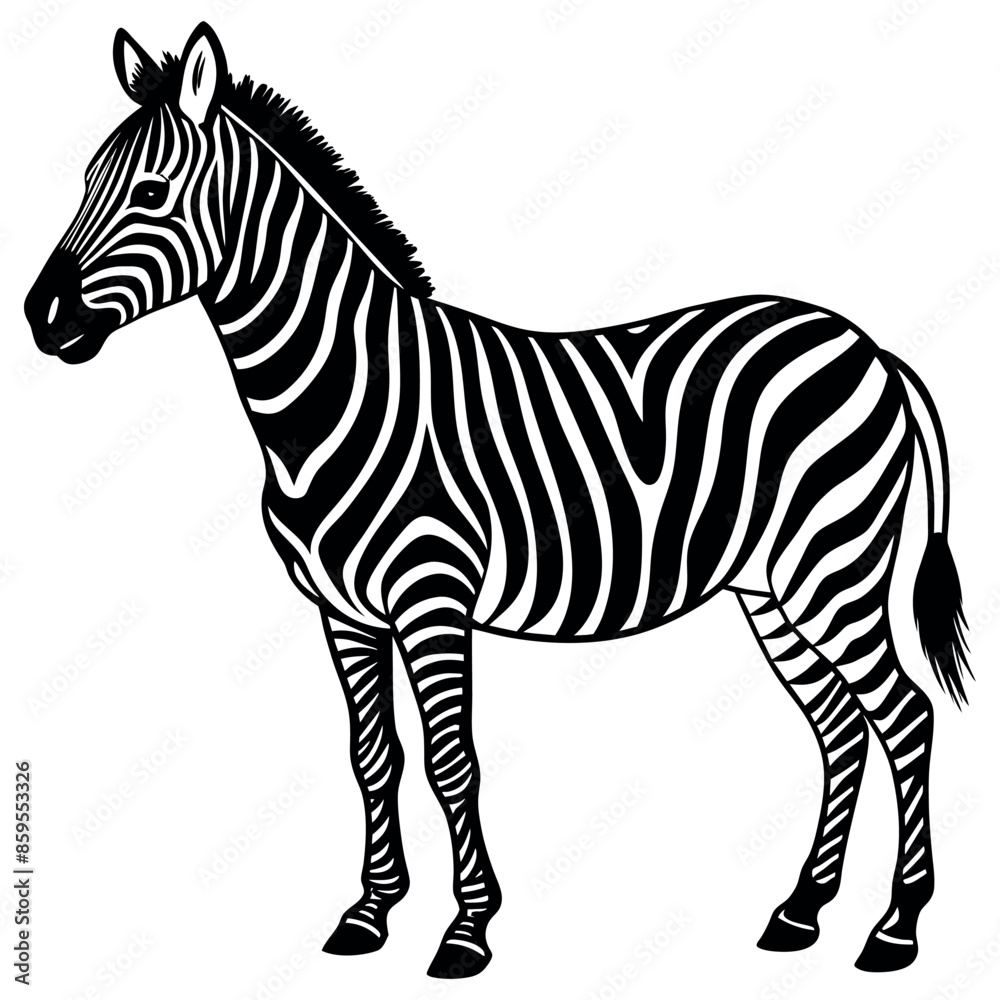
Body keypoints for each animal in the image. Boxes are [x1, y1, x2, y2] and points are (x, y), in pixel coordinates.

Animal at [24, 22, 971, 979]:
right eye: (83, 181)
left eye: (148, 192)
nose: (39, 318)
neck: (339, 391)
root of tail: (870, 346)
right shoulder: (344, 611)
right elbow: (374, 758)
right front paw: (370, 913)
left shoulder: (431, 594)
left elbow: (452, 760)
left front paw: (467, 928)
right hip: (771, 588)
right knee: (840, 728)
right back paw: (800, 913)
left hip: (833, 571)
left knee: (905, 716)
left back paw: (896, 928)